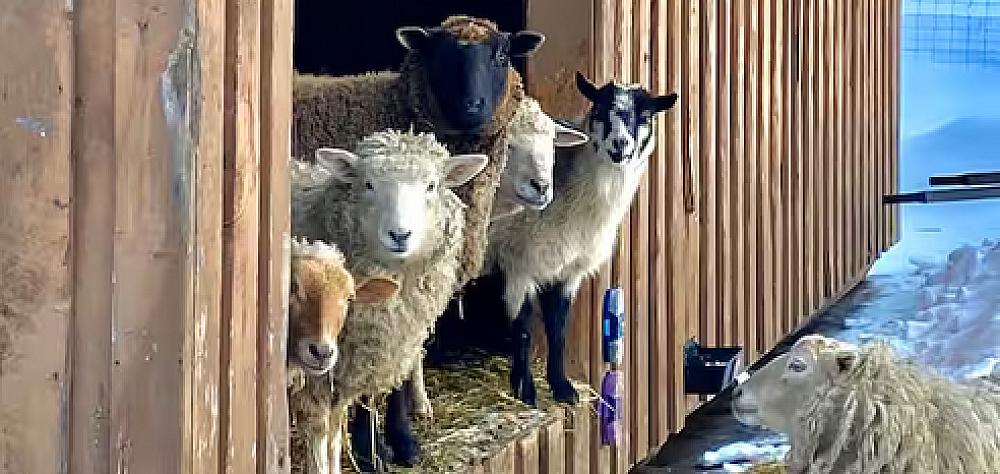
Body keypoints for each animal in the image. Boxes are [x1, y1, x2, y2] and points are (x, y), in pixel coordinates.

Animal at [286, 237, 399, 474]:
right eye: (293, 287)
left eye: (350, 298)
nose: (323, 352)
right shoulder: (311, 400)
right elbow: (319, 445)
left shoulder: (337, 397)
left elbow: (334, 440)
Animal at [484, 72, 678, 405]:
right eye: (599, 109)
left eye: (646, 116)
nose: (620, 144)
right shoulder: (517, 261)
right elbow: (523, 329)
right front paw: (525, 391)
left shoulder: (567, 269)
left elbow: (558, 328)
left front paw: (563, 388)